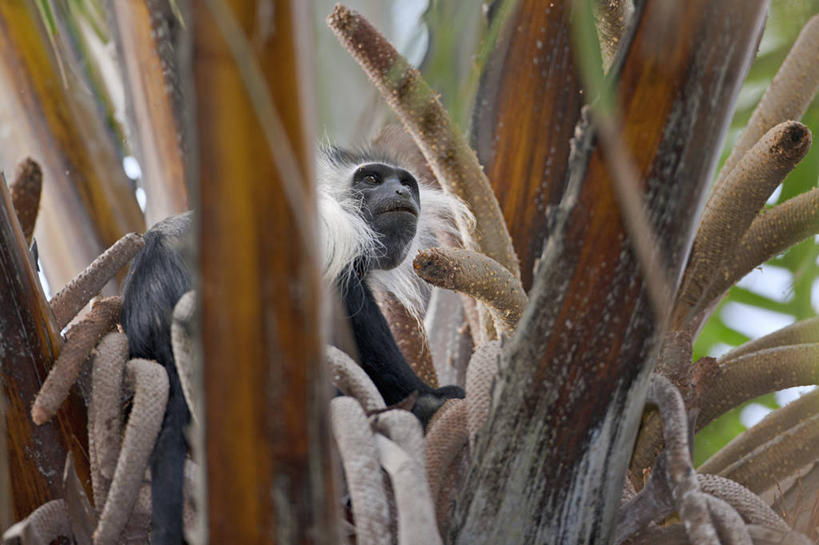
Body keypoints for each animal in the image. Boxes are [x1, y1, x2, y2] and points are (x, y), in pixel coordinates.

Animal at [119, 142, 470, 540]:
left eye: (406, 183)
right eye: (371, 178)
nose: (400, 192)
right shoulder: (334, 229)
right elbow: (350, 303)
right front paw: (428, 397)